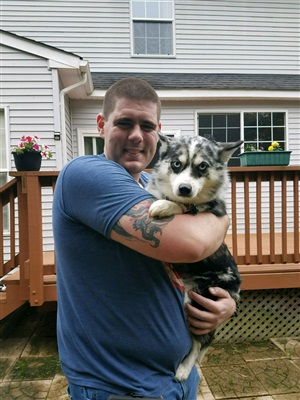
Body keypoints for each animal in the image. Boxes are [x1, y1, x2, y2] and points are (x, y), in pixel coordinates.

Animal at [146, 134, 243, 382]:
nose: (184, 189)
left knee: (200, 342)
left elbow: (186, 206)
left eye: (202, 167)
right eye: (176, 164)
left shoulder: (209, 210)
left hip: (196, 297)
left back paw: (184, 368)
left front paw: (166, 204)